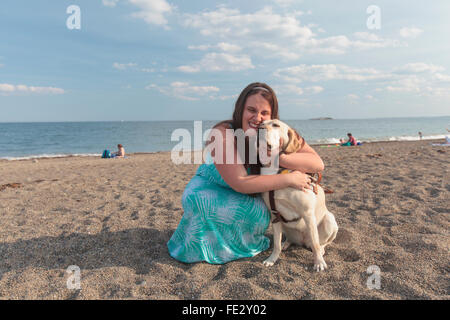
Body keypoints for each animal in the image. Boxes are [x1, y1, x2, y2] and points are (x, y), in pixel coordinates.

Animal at [256, 120, 338, 272]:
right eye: (261, 123)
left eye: (275, 125)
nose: (259, 128)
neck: (276, 171)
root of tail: (303, 242)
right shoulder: (274, 215)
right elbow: (276, 244)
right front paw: (272, 259)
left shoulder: (308, 213)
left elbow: (316, 244)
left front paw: (319, 262)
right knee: (288, 239)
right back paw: (286, 243)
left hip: (330, 220)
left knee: (320, 243)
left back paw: (321, 250)